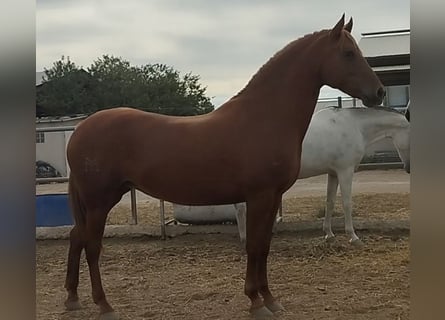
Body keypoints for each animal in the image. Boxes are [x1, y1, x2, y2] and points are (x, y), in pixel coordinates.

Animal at [64, 15, 384, 320]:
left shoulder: (272, 198)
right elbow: (253, 246)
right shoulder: (259, 196)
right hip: (100, 201)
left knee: (77, 237)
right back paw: (104, 305)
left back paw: (72, 299)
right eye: (348, 53)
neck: (264, 117)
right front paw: (256, 302)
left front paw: (270, 300)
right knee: (92, 245)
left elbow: (264, 246)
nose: (379, 93)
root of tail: (80, 130)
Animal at [232, 106, 410, 246]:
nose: (408, 168)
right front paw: (353, 237)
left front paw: (329, 234)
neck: (354, 126)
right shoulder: (345, 171)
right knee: (241, 208)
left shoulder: (333, 173)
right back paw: (245, 239)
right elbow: (347, 204)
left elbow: (330, 202)